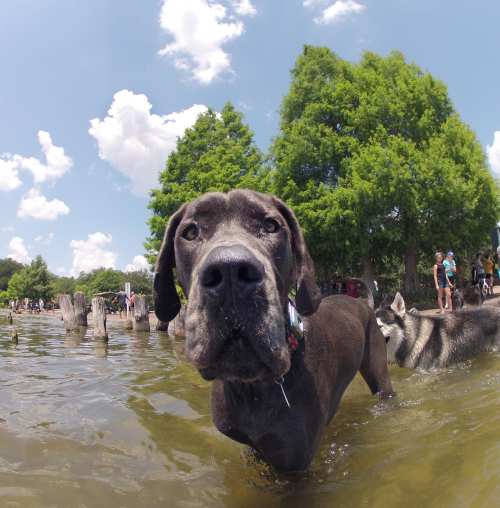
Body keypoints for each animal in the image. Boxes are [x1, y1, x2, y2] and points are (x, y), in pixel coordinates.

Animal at [154, 190, 392, 472]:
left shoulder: (295, 460)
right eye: (190, 232)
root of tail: (362, 302)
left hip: (380, 373)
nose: (230, 270)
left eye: (271, 226)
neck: (252, 387)